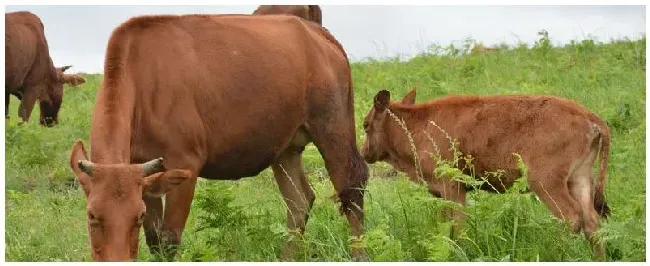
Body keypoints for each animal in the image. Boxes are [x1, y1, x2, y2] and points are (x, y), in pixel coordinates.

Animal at [69, 13, 370, 260]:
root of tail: (316, 32)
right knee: (299, 200)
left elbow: (169, 240)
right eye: (92, 215)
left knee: (351, 185)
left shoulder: (185, 162)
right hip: (285, 146)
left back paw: (359, 254)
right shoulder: (146, 174)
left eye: (137, 215)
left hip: (333, 124)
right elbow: (154, 241)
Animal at [362, 89, 612, 260]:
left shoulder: (452, 186)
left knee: (571, 217)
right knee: (591, 222)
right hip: (579, 179)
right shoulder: (444, 191)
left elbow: (458, 225)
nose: (364, 152)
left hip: (546, 183)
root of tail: (591, 118)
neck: (417, 127)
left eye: (365, 125)